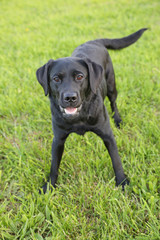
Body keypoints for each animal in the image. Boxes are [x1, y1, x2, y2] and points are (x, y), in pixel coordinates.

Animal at [36, 28, 148, 193]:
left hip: (111, 85)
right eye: (56, 79)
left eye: (80, 76)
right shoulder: (58, 140)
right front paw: (49, 186)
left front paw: (122, 182)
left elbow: (116, 161)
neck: (79, 117)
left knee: (114, 102)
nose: (70, 97)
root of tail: (95, 41)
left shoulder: (108, 136)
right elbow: (54, 165)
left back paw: (118, 119)